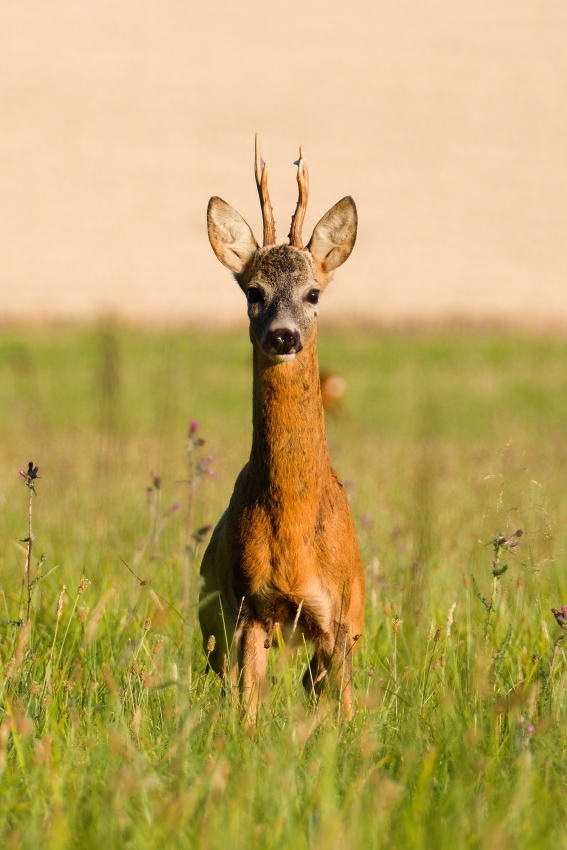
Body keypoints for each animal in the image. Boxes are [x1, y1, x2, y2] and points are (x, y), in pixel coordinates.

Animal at [199, 136, 365, 721]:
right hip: (212, 624)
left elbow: (343, 710)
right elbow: (247, 711)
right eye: (253, 291)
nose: (283, 335)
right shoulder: (251, 608)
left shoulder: (338, 617)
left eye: (314, 293)